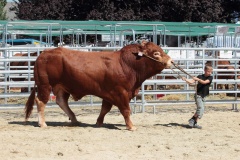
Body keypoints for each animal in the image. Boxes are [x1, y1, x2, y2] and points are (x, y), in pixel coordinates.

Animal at [25, 42, 172, 131]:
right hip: (45, 85)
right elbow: (126, 110)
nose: (171, 61)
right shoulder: (121, 93)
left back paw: (74, 119)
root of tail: (43, 54)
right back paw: (42, 123)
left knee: (61, 101)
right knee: (40, 101)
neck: (126, 64)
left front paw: (99, 122)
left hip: (61, 87)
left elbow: (105, 109)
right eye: (156, 53)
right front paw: (131, 126)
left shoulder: (109, 94)